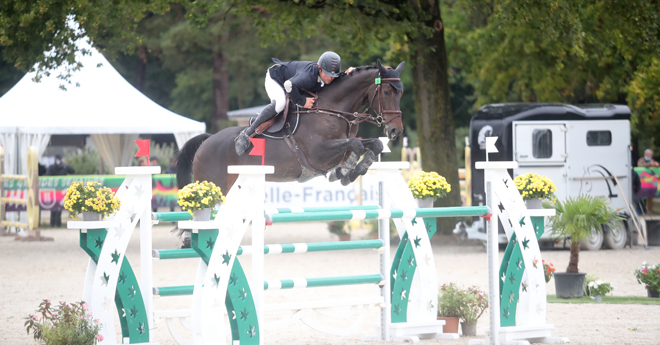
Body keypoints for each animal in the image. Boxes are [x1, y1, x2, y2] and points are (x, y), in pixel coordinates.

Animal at [175, 60, 404, 192]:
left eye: (400, 93)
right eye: (386, 92)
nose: (396, 131)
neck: (333, 109)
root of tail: (206, 141)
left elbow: (373, 144)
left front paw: (352, 172)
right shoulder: (319, 153)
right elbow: (355, 145)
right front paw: (345, 173)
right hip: (215, 184)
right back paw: (242, 141)